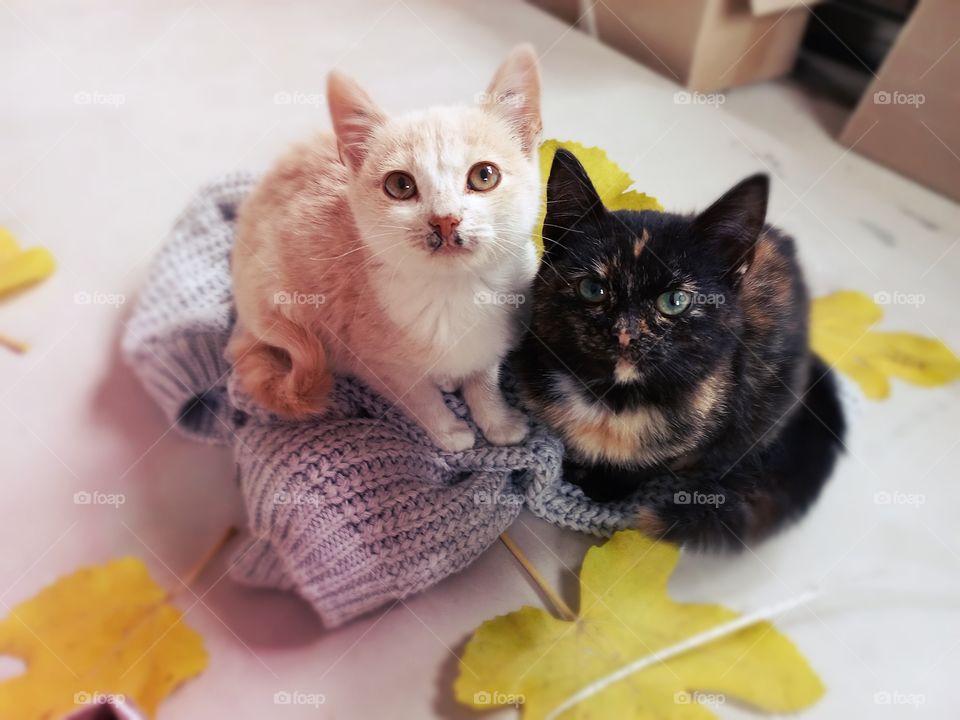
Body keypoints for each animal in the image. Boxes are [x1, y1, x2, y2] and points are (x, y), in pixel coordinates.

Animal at [224, 45, 540, 450]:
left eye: (484, 176)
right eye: (400, 185)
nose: (445, 219)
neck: (454, 293)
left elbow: (484, 376)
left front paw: (496, 419)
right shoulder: (375, 360)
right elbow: (418, 396)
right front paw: (448, 430)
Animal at [512, 149, 844, 548]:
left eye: (675, 301)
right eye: (593, 288)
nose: (625, 333)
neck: (614, 400)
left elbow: (649, 464)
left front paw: (601, 485)